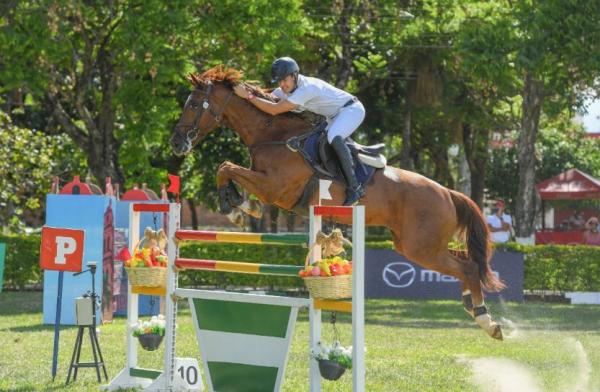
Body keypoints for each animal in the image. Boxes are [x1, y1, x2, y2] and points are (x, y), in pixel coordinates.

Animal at [170, 65, 506, 340]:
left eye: (194, 104)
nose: (177, 143)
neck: (274, 134)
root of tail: (448, 193)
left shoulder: (275, 188)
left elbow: (225, 166)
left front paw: (237, 208)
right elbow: (227, 169)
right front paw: (239, 206)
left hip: (422, 247)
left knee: (468, 268)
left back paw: (487, 321)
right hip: (414, 245)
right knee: (466, 264)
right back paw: (473, 307)